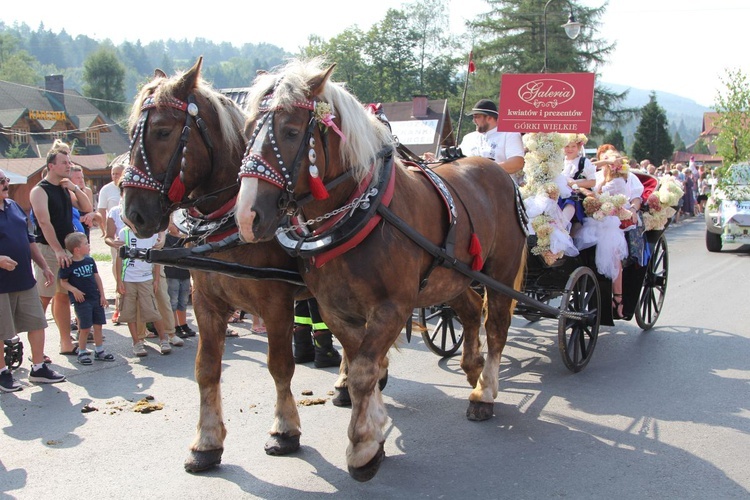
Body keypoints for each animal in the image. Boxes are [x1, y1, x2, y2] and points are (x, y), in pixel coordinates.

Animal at [122, 57, 310, 472]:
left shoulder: (276, 305)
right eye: (130, 132)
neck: (229, 221)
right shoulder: (207, 303)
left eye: (162, 131)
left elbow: (280, 365)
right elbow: (206, 369)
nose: (133, 214)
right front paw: (206, 442)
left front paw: (284, 430)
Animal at [236, 58, 528, 480]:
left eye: (290, 131)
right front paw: (374, 430)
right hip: (452, 277)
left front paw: (362, 447)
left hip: (500, 273)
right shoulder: (336, 309)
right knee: (471, 312)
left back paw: (484, 392)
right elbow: (364, 366)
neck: (365, 209)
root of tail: (498, 172)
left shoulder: (393, 307)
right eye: (247, 133)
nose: (246, 216)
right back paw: (471, 368)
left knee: (497, 325)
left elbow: (362, 370)